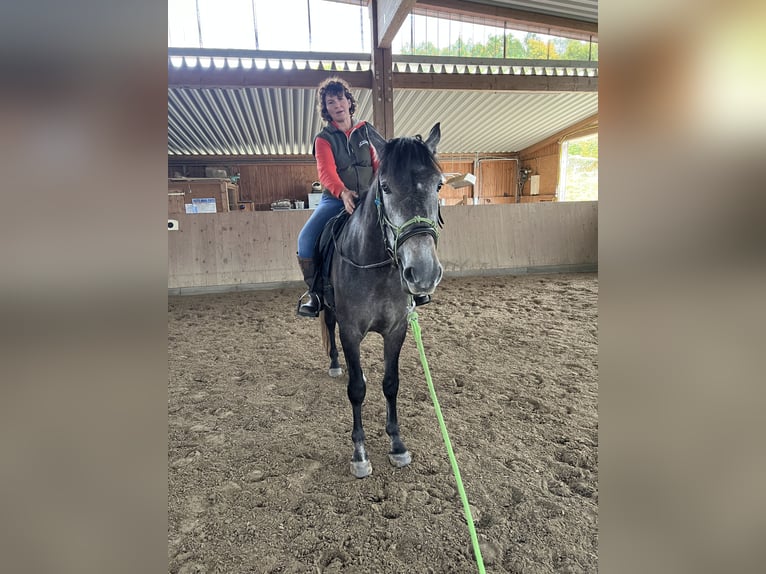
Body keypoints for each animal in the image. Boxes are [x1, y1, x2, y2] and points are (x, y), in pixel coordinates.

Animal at [318, 123, 444, 478]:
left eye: (439, 184)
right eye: (385, 187)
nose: (423, 273)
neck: (376, 265)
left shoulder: (396, 329)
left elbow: (391, 383)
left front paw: (397, 444)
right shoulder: (350, 331)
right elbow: (357, 390)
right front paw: (359, 453)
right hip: (329, 310)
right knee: (329, 328)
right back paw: (335, 364)